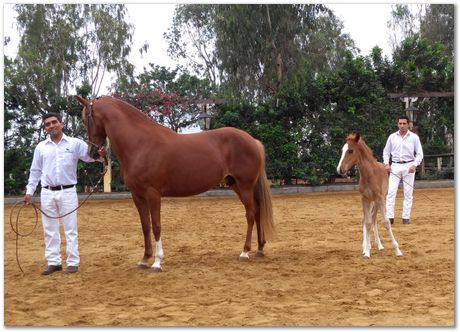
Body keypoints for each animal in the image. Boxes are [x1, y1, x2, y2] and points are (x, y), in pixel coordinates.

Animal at [77, 94, 274, 272]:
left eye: (86, 120)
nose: (92, 152)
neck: (140, 143)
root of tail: (252, 141)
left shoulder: (153, 193)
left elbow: (156, 226)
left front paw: (157, 262)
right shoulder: (137, 195)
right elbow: (145, 226)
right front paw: (144, 259)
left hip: (245, 186)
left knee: (251, 214)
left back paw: (245, 252)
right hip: (236, 185)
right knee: (257, 212)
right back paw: (260, 248)